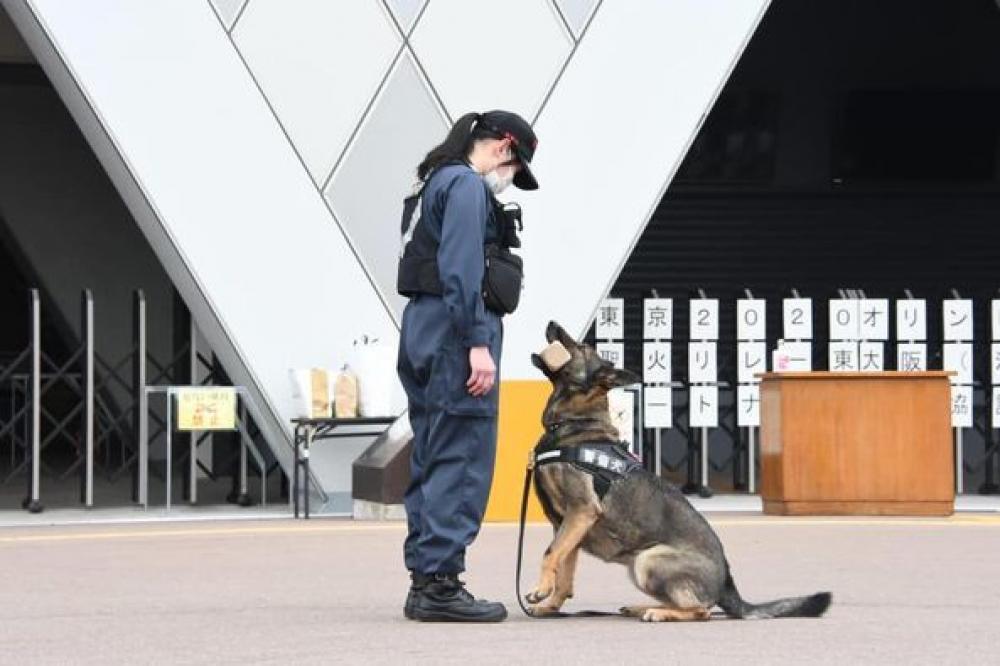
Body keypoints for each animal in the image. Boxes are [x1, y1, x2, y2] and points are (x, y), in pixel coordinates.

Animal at [528, 320, 832, 620]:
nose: (552, 323)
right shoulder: (567, 523)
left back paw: (657, 612)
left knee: (701, 610)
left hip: (647, 560)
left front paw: (539, 590)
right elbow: (564, 569)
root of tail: (726, 585)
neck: (577, 422)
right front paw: (550, 605)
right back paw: (642, 607)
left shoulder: (582, 511)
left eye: (579, 347)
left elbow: (550, 553)